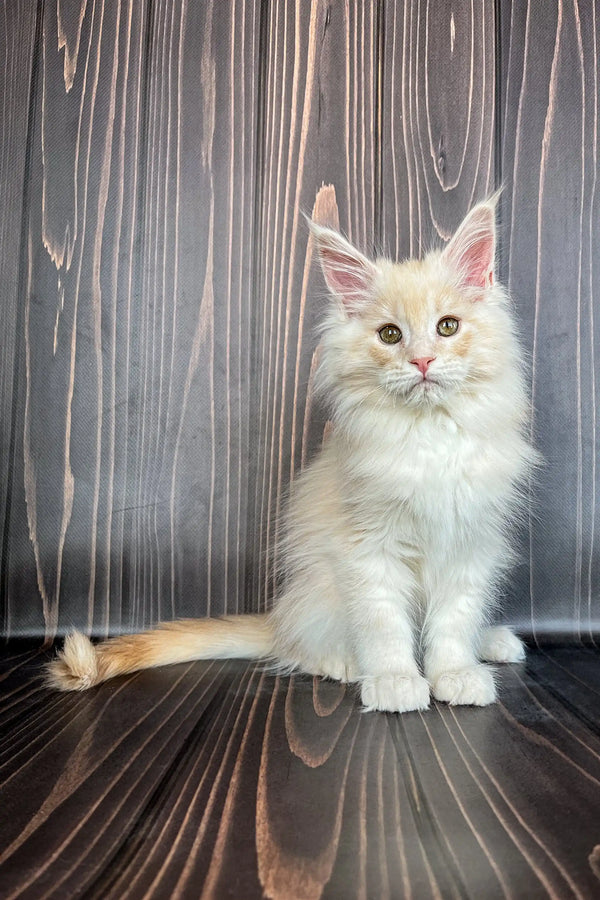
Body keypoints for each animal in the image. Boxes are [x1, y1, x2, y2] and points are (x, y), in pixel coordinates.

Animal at [47, 200, 536, 712]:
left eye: (447, 327)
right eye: (389, 335)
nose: (421, 361)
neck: (429, 435)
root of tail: (279, 617)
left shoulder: (469, 545)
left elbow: (454, 623)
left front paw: (456, 674)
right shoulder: (369, 547)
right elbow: (385, 625)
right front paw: (396, 681)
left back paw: (493, 643)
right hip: (320, 590)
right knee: (302, 646)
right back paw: (344, 664)